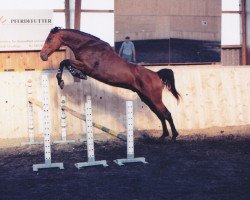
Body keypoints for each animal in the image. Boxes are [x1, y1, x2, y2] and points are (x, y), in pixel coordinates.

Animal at [40, 27, 181, 141]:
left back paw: (174, 135)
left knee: (166, 114)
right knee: (160, 115)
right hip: (146, 99)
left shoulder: (87, 67)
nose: (42, 56)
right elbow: (65, 63)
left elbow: (65, 61)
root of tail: (156, 75)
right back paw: (163, 136)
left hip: (154, 98)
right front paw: (68, 78)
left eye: (50, 39)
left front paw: (67, 79)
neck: (86, 45)